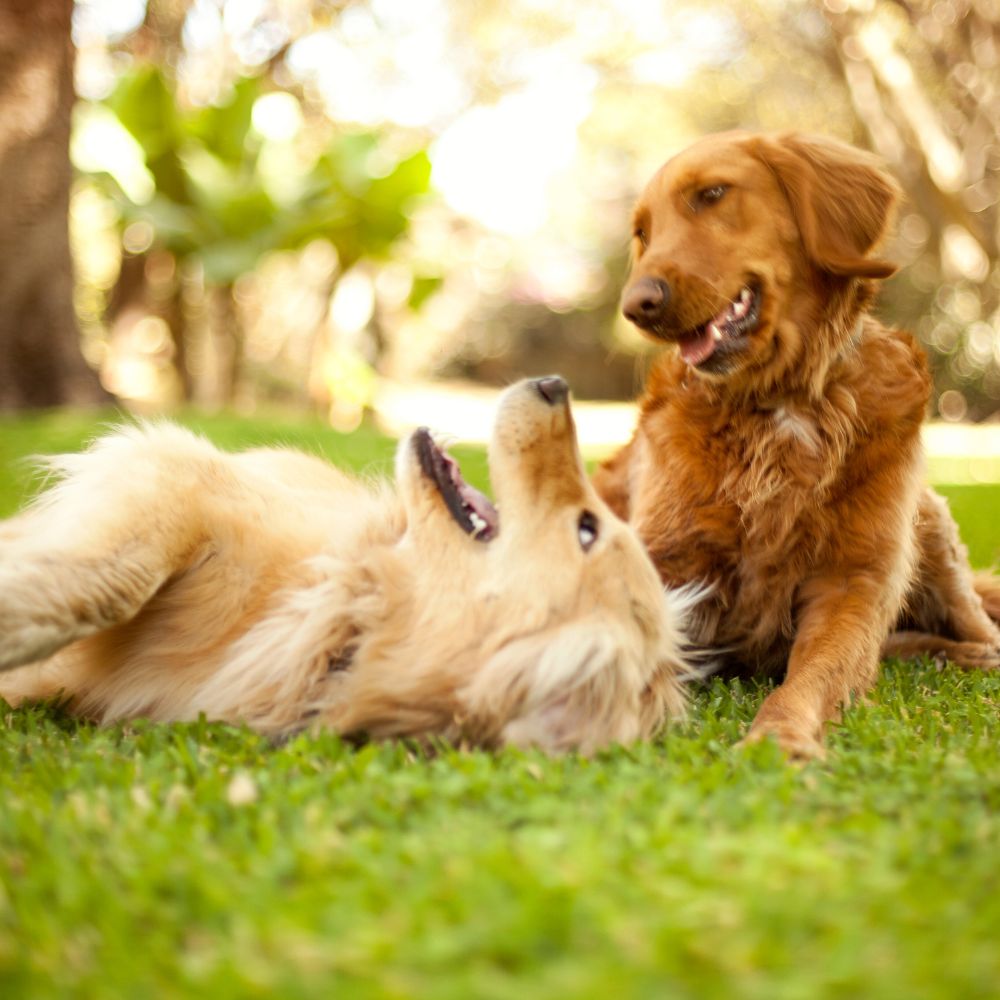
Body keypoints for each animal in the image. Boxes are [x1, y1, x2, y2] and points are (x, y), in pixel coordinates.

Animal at [592, 133, 1000, 756]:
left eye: (712, 194)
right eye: (643, 233)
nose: (637, 305)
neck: (780, 402)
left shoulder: (854, 582)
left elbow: (816, 673)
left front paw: (779, 738)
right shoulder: (664, 559)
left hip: (930, 531)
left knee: (970, 622)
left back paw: (979, 652)